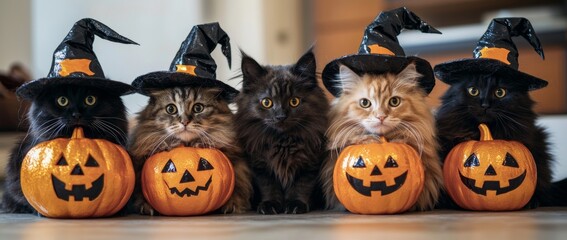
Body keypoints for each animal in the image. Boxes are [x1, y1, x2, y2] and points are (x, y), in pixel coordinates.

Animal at [130, 87, 254, 215]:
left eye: (198, 108)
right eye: (171, 109)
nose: (184, 122)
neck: (187, 144)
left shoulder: (239, 165)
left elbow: (239, 187)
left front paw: (233, 205)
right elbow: (140, 192)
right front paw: (145, 206)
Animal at [235, 48, 330, 214]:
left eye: (294, 101)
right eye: (267, 102)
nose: (281, 116)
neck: (282, 141)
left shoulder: (309, 165)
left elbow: (300, 187)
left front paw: (295, 205)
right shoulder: (261, 167)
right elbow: (269, 188)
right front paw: (270, 205)